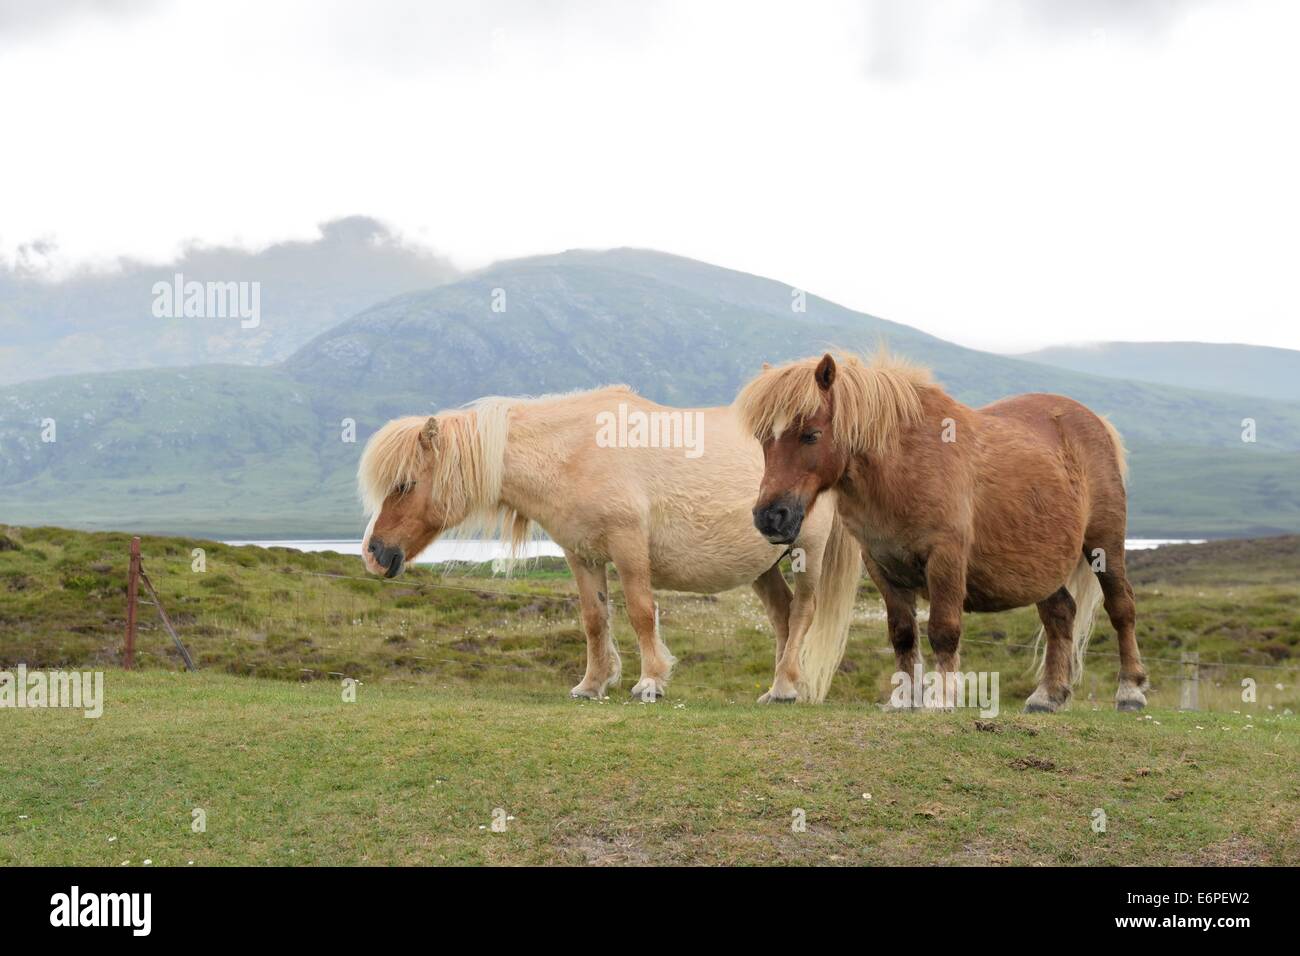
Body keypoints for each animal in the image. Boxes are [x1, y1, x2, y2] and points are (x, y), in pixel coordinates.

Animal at [356, 382, 863, 702]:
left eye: (404, 484)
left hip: (807, 553)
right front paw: (592, 684)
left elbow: (640, 612)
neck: (577, 451)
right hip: (763, 565)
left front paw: (651, 682)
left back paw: (785, 688)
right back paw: (781, 684)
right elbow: (594, 619)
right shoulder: (581, 555)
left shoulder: (628, 544)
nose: (374, 554)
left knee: (801, 614)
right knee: (781, 617)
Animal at [738, 351, 1154, 712]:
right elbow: (902, 632)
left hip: (1104, 545)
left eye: (810, 434)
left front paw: (943, 699)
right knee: (1060, 614)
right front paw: (903, 700)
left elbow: (943, 629)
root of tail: (1095, 421)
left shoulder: (946, 557)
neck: (902, 465)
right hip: (1040, 562)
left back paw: (1130, 691)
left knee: (1121, 607)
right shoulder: (881, 564)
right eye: (763, 439)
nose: (770, 517)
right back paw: (1047, 696)